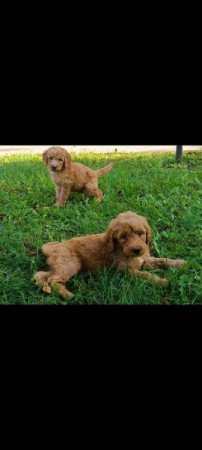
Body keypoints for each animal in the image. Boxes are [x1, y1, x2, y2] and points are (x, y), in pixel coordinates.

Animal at [33, 211, 185, 298]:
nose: (137, 250)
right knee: (53, 279)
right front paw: (163, 282)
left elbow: (161, 260)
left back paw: (45, 287)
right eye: (123, 237)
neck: (121, 249)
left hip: (59, 265)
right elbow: (147, 275)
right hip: (70, 264)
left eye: (141, 233)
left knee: (41, 274)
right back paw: (67, 294)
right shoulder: (127, 270)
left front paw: (179, 263)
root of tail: (52, 248)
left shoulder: (144, 260)